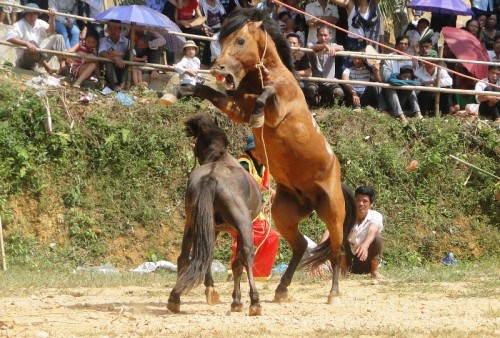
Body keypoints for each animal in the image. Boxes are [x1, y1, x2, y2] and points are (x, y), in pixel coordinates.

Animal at [167, 8, 356, 304]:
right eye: (224, 39)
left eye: (240, 40)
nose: (218, 68)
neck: (266, 76)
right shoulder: (236, 109)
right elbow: (205, 91)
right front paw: (178, 91)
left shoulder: (276, 109)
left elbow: (268, 96)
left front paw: (259, 112)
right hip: (284, 213)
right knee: (301, 245)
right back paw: (281, 289)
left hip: (332, 211)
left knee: (337, 250)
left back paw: (333, 293)